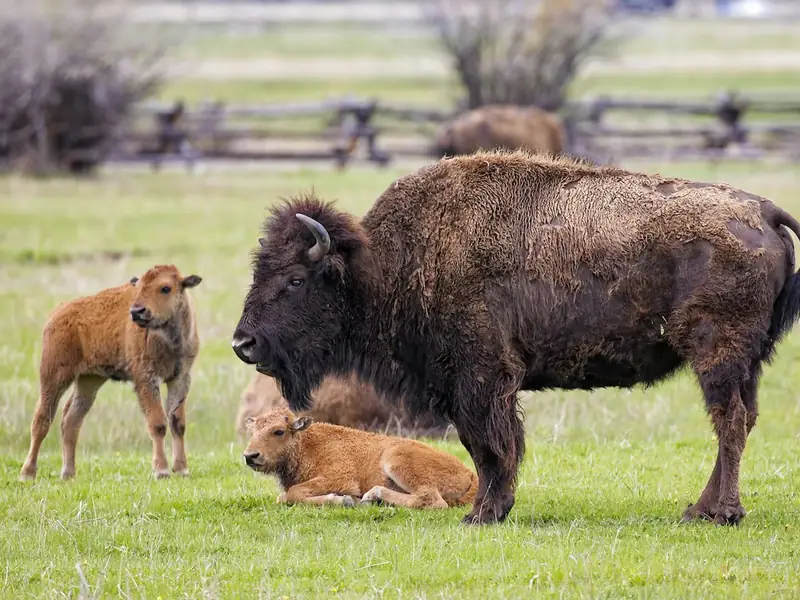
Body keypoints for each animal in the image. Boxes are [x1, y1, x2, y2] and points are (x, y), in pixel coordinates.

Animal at [232, 150, 800, 525]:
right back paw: (698, 508)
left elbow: (490, 445)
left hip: (716, 355)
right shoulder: (468, 385)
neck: (384, 262)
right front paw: (492, 509)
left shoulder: (481, 379)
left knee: (729, 422)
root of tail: (764, 212)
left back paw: (720, 513)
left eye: (295, 280)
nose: (244, 345)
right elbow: (485, 445)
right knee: (742, 419)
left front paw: (483, 514)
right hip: (746, 363)